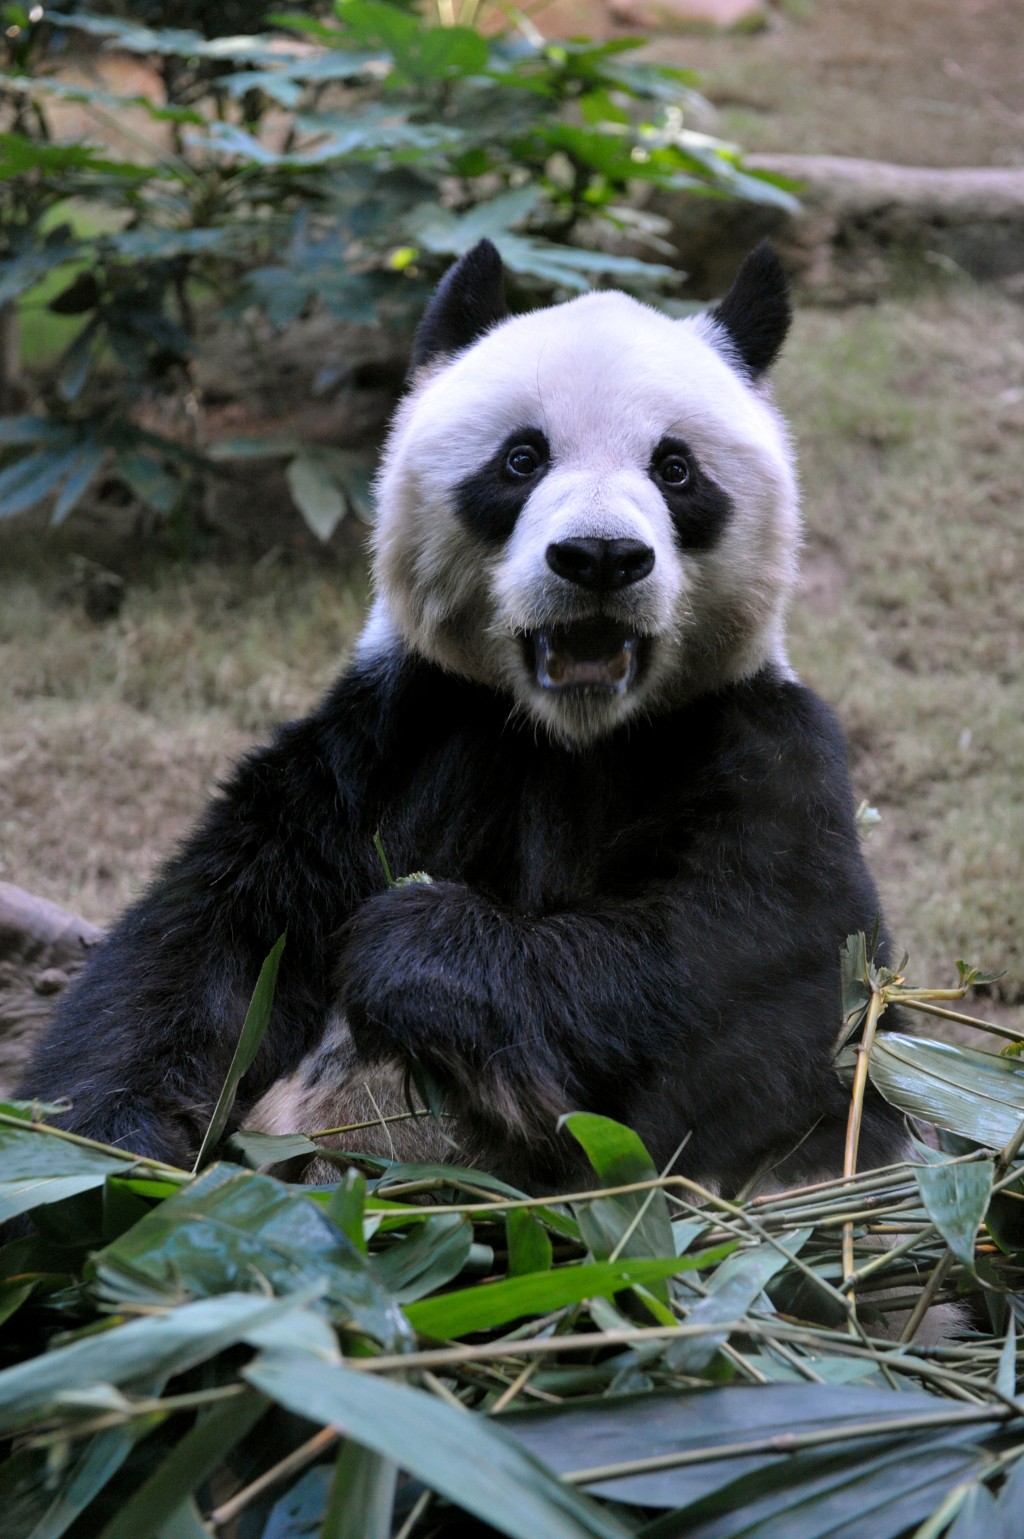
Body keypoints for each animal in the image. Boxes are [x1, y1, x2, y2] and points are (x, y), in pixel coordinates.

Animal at [17, 243, 905, 1188]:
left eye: (675, 468)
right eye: (521, 459)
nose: (599, 557)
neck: (570, 735)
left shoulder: (751, 741)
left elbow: (769, 971)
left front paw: (419, 947)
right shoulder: (400, 732)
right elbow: (206, 941)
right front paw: (102, 1151)